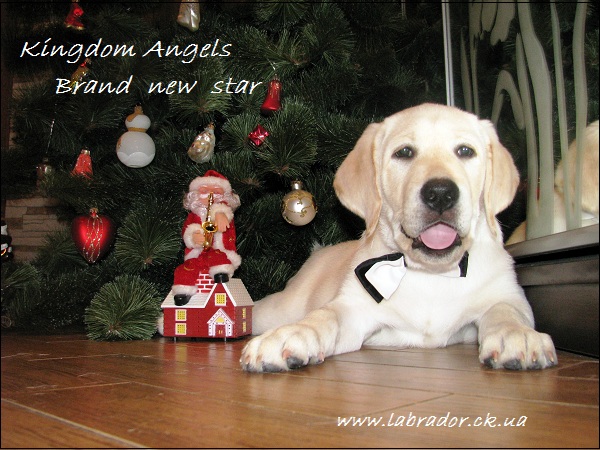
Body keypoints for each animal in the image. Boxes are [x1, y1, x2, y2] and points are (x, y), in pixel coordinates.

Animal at [241, 103, 557, 372]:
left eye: (465, 151)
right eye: (404, 153)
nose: (440, 193)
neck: (432, 274)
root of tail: (318, 252)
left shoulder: (508, 295)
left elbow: (506, 312)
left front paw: (518, 336)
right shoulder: (354, 308)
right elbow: (324, 315)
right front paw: (291, 335)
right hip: (280, 307)